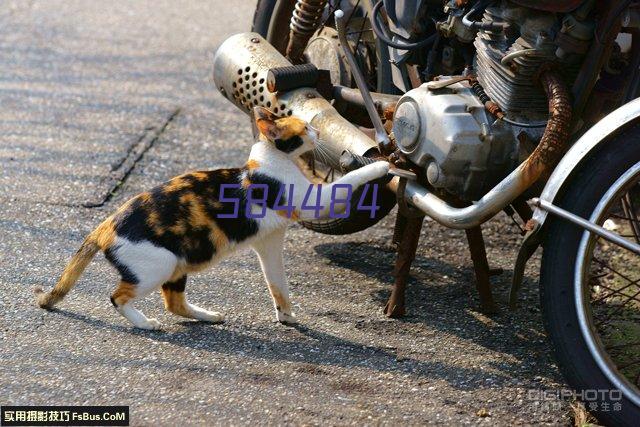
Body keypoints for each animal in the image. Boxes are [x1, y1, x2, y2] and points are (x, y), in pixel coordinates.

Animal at [37, 105, 392, 330]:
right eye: (304, 128)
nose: (318, 131)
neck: (270, 160)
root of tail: (105, 225)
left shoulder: (269, 243)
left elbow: (277, 284)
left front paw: (286, 315)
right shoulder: (315, 201)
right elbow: (349, 180)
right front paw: (381, 165)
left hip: (177, 264)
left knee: (174, 303)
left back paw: (207, 316)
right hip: (159, 264)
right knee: (117, 297)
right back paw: (146, 324)